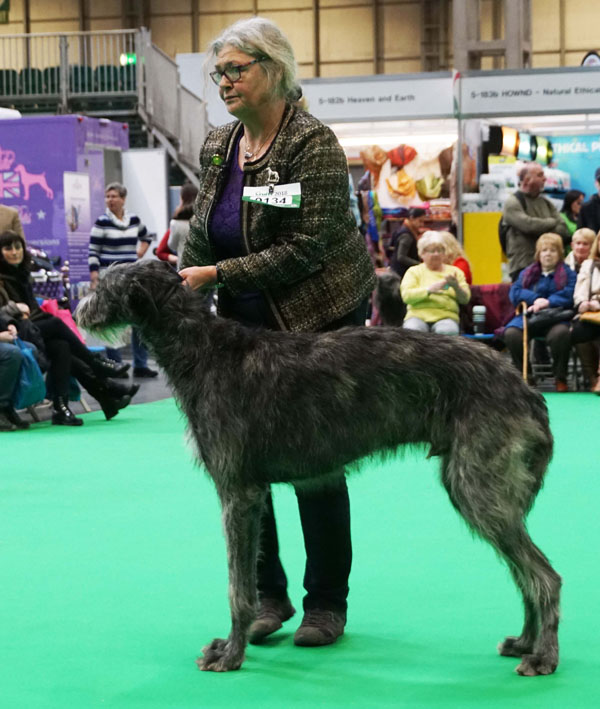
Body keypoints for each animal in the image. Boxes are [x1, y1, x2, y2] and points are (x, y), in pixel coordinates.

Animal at [77, 258, 560, 676]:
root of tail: (523, 387)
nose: (79, 312)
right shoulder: (254, 492)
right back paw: (523, 641)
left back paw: (542, 657)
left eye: (103, 287)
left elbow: (239, 587)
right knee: (525, 574)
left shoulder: (238, 491)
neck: (204, 350)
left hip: (478, 485)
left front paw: (230, 654)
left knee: (544, 576)